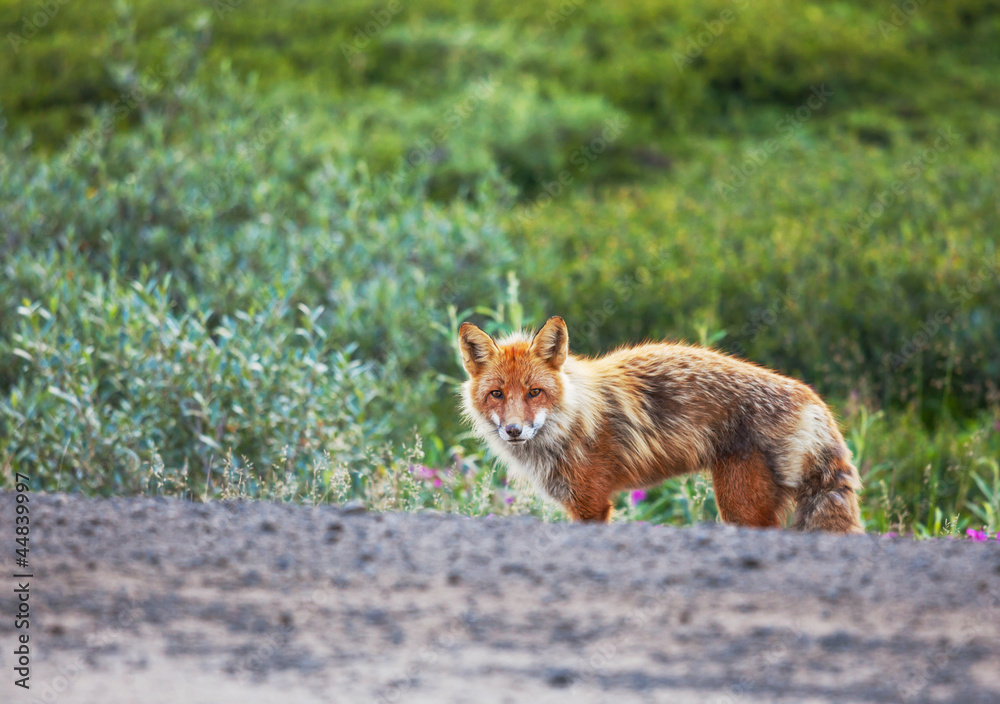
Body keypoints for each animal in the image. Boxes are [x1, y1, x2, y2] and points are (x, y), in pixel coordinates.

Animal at [458, 316, 864, 534]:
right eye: (496, 394)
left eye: (534, 392)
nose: (514, 430)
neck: (569, 421)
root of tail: (813, 400)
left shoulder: (592, 504)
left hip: (740, 507)